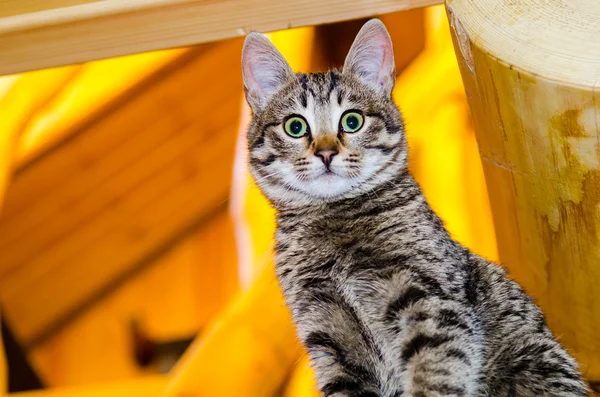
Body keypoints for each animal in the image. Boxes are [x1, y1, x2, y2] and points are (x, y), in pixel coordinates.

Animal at [241, 17, 588, 394]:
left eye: (352, 121)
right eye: (295, 126)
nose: (326, 152)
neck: (333, 222)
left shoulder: (426, 298)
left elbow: (434, 371)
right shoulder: (326, 339)